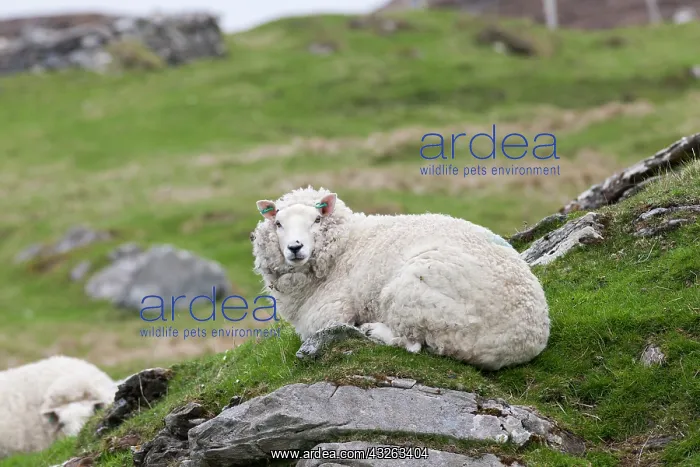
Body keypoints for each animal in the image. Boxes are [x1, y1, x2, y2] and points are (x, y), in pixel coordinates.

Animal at [251, 186, 550, 371]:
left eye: (316, 220)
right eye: (278, 224)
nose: (295, 247)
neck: (345, 245)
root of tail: (525, 341)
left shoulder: (329, 313)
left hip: (416, 293)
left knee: (413, 344)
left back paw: (372, 330)